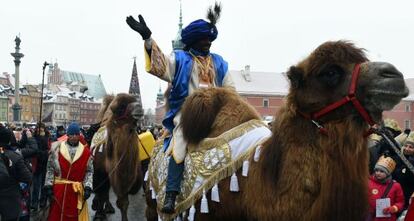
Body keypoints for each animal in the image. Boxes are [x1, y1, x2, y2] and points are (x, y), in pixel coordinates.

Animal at [91, 93, 143, 221]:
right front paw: (99, 214)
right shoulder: (100, 171)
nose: (139, 106)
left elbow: (123, 202)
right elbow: (101, 192)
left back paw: (109, 207)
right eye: (120, 108)